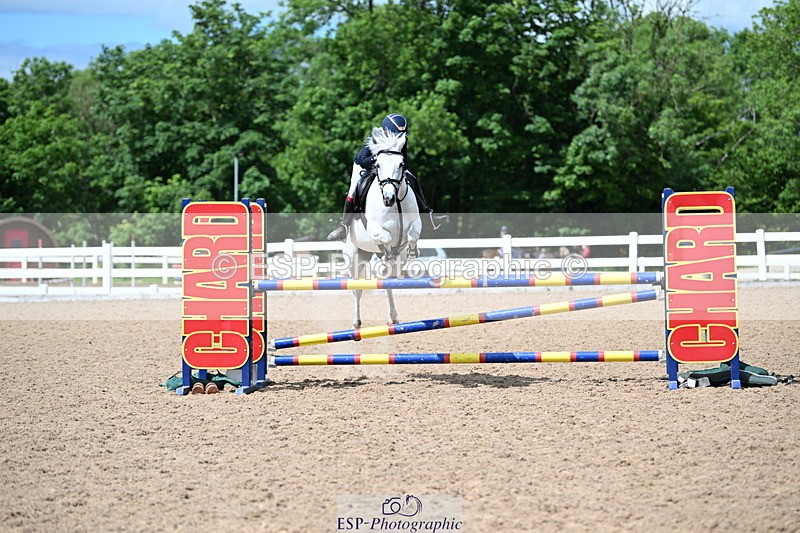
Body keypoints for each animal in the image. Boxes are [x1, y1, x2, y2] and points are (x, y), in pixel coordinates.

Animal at [342, 127, 422, 328]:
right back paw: (356, 322)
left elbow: (412, 234)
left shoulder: (416, 223)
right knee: (357, 288)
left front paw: (412, 250)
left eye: (401, 164)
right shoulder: (375, 229)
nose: (388, 198)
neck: (396, 204)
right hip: (354, 258)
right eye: (377, 165)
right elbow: (385, 237)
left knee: (388, 284)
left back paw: (393, 317)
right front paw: (387, 252)